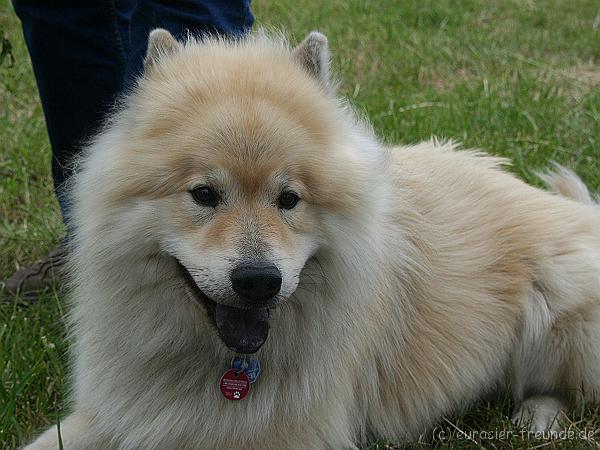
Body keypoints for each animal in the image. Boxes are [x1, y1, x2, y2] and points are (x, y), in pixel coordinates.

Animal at [27, 29, 600, 448]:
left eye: (289, 199)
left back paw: (537, 417)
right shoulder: (111, 414)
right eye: (204, 194)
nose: (258, 280)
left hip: (557, 304)